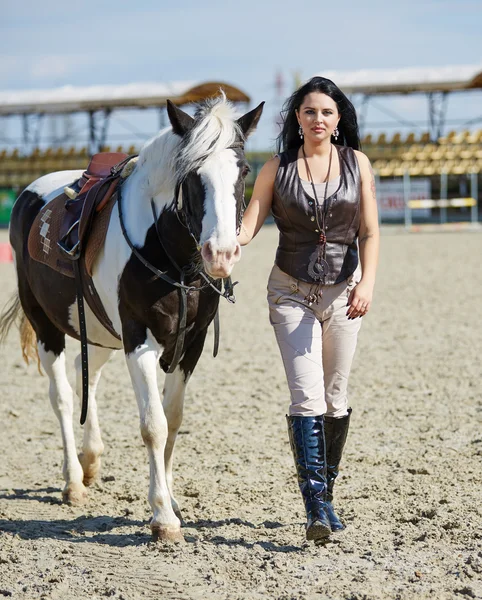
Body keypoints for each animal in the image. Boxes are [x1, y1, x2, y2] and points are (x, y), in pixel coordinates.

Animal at [0, 95, 264, 544]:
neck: (172, 258)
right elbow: (153, 425)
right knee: (63, 395)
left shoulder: (190, 344)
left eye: (243, 170)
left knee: (85, 375)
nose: (221, 254)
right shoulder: (138, 340)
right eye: (191, 174)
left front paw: (172, 500)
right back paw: (73, 480)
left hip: (101, 330)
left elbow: (173, 420)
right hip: (47, 324)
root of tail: (29, 195)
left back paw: (90, 461)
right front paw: (162, 517)